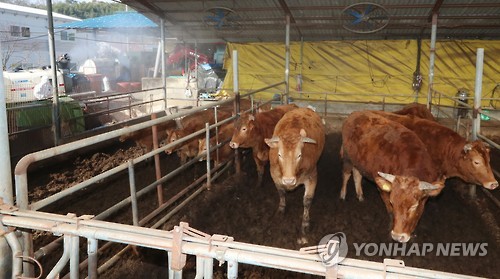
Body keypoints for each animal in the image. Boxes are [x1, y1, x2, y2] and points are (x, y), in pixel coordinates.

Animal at [264, 107, 326, 245]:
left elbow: (307, 201)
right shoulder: (274, 175)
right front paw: (281, 209)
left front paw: (305, 223)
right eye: (279, 154)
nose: (289, 181)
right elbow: (281, 192)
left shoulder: (312, 177)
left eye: (299, 155)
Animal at [340, 111, 446, 243]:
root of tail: (355, 114)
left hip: (358, 161)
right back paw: (343, 194)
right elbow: (390, 211)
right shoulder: (383, 190)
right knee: (346, 174)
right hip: (347, 158)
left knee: (357, 175)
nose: (398, 236)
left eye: (414, 206)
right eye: (392, 202)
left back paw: (360, 195)